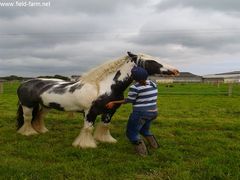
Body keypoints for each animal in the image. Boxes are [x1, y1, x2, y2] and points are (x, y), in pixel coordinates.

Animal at [16, 51, 178, 148]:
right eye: (151, 61)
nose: (176, 71)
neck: (104, 87)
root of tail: (25, 83)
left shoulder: (109, 111)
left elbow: (105, 126)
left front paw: (105, 140)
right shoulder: (90, 112)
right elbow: (88, 128)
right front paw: (86, 145)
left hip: (45, 106)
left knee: (39, 117)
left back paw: (41, 131)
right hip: (27, 105)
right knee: (28, 118)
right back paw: (29, 133)